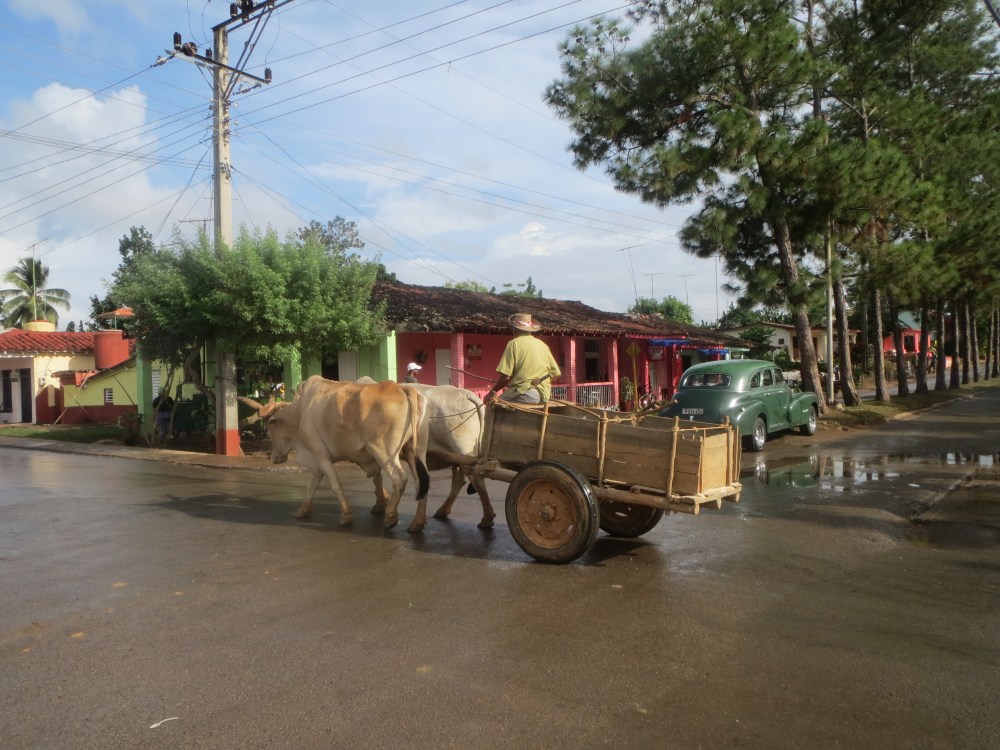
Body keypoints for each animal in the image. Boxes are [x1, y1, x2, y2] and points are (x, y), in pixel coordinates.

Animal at [240, 376, 430, 532]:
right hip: (416, 451)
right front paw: (303, 510)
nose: (274, 458)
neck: (300, 413)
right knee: (421, 482)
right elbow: (311, 485)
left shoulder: (319, 454)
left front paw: (346, 516)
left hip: (384, 451)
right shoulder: (316, 461)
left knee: (400, 479)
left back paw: (390, 517)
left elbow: (335, 484)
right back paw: (417, 523)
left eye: (268, 428)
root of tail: (402, 388)